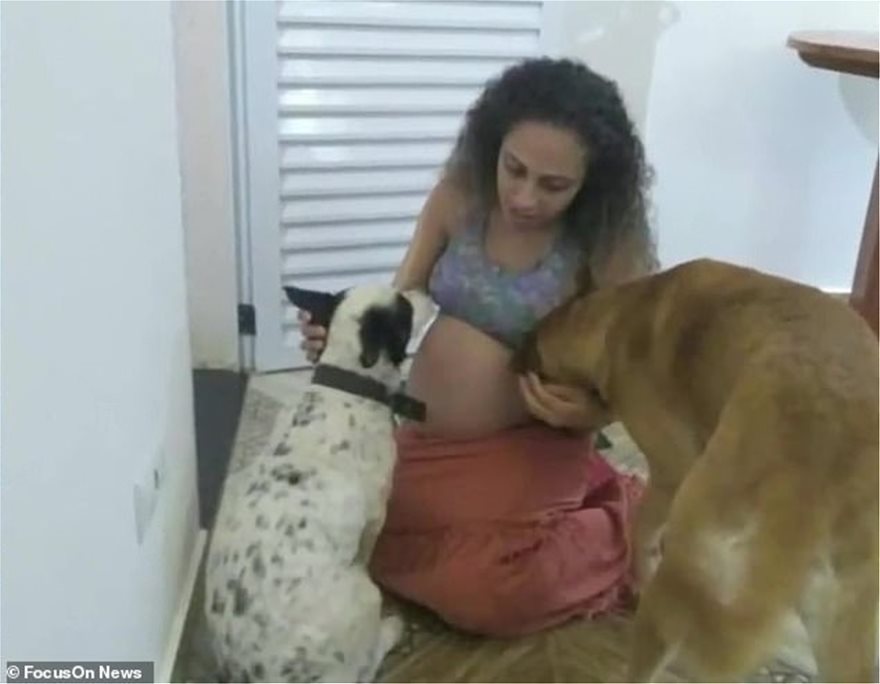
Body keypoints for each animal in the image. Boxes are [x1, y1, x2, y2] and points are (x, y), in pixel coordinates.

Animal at [205, 284, 436, 683]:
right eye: (405, 308)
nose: (422, 288)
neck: (349, 382)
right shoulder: (375, 516)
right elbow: (367, 550)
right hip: (367, 597)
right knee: (366, 665)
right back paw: (392, 630)